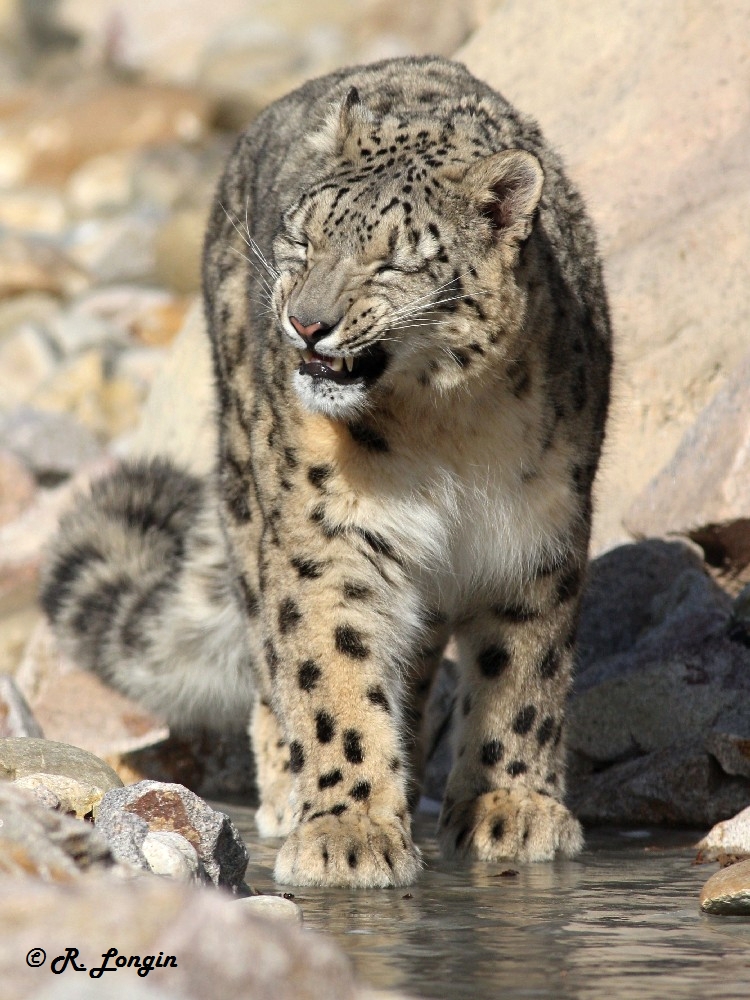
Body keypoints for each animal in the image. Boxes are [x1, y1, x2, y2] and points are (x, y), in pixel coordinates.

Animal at [41, 54, 612, 888]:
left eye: (394, 260)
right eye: (302, 240)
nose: (306, 323)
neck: (447, 429)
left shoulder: (536, 537)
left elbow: (522, 676)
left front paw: (511, 808)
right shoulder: (327, 539)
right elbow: (330, 669)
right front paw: (351, 830)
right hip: (248, 492)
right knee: (270, 657)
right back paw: (289, 789)